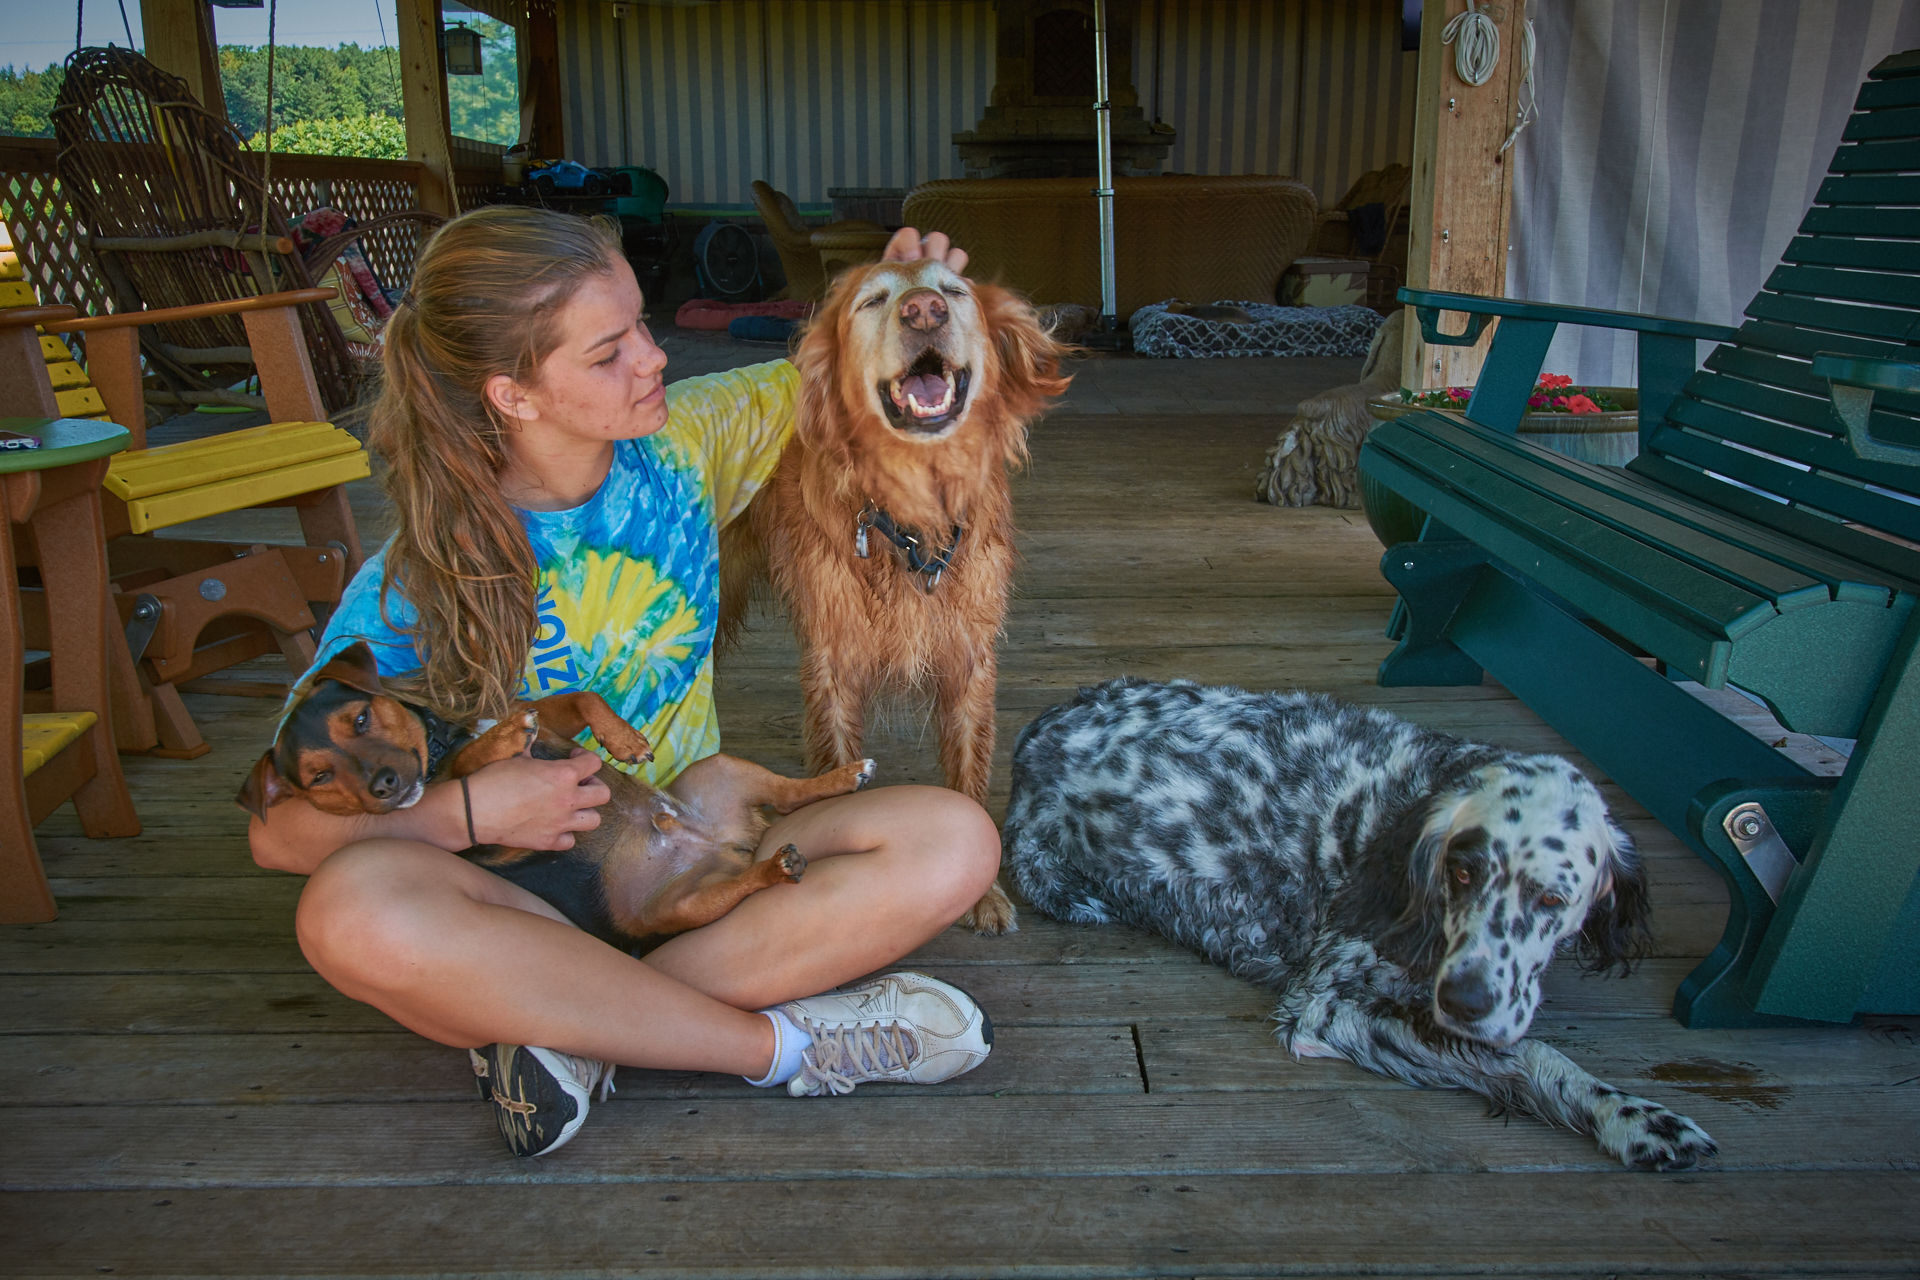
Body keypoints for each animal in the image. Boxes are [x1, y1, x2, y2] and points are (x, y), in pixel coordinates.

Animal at [234, 640, 883, 951]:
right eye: (319, 778)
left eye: (362, 719)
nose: (385, 786)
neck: (440, 742)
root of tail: (722, 846)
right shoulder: (483, 830)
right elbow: (466, 771)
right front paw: (497, 743)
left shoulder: (550, 719)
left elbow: (581, 697)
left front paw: (622, 739)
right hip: (680, 907)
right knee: (749, 880)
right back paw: (776, 865)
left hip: (721, 771)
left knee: (791, 796)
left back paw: (842, 778)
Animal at [1013, 679, 1720, 1174]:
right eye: (1463, 871)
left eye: (1552, 898)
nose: (1465, 1001)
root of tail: (1038, 727)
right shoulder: (1325, 1010)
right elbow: (1527, 1054)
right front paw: (1633, 1118)